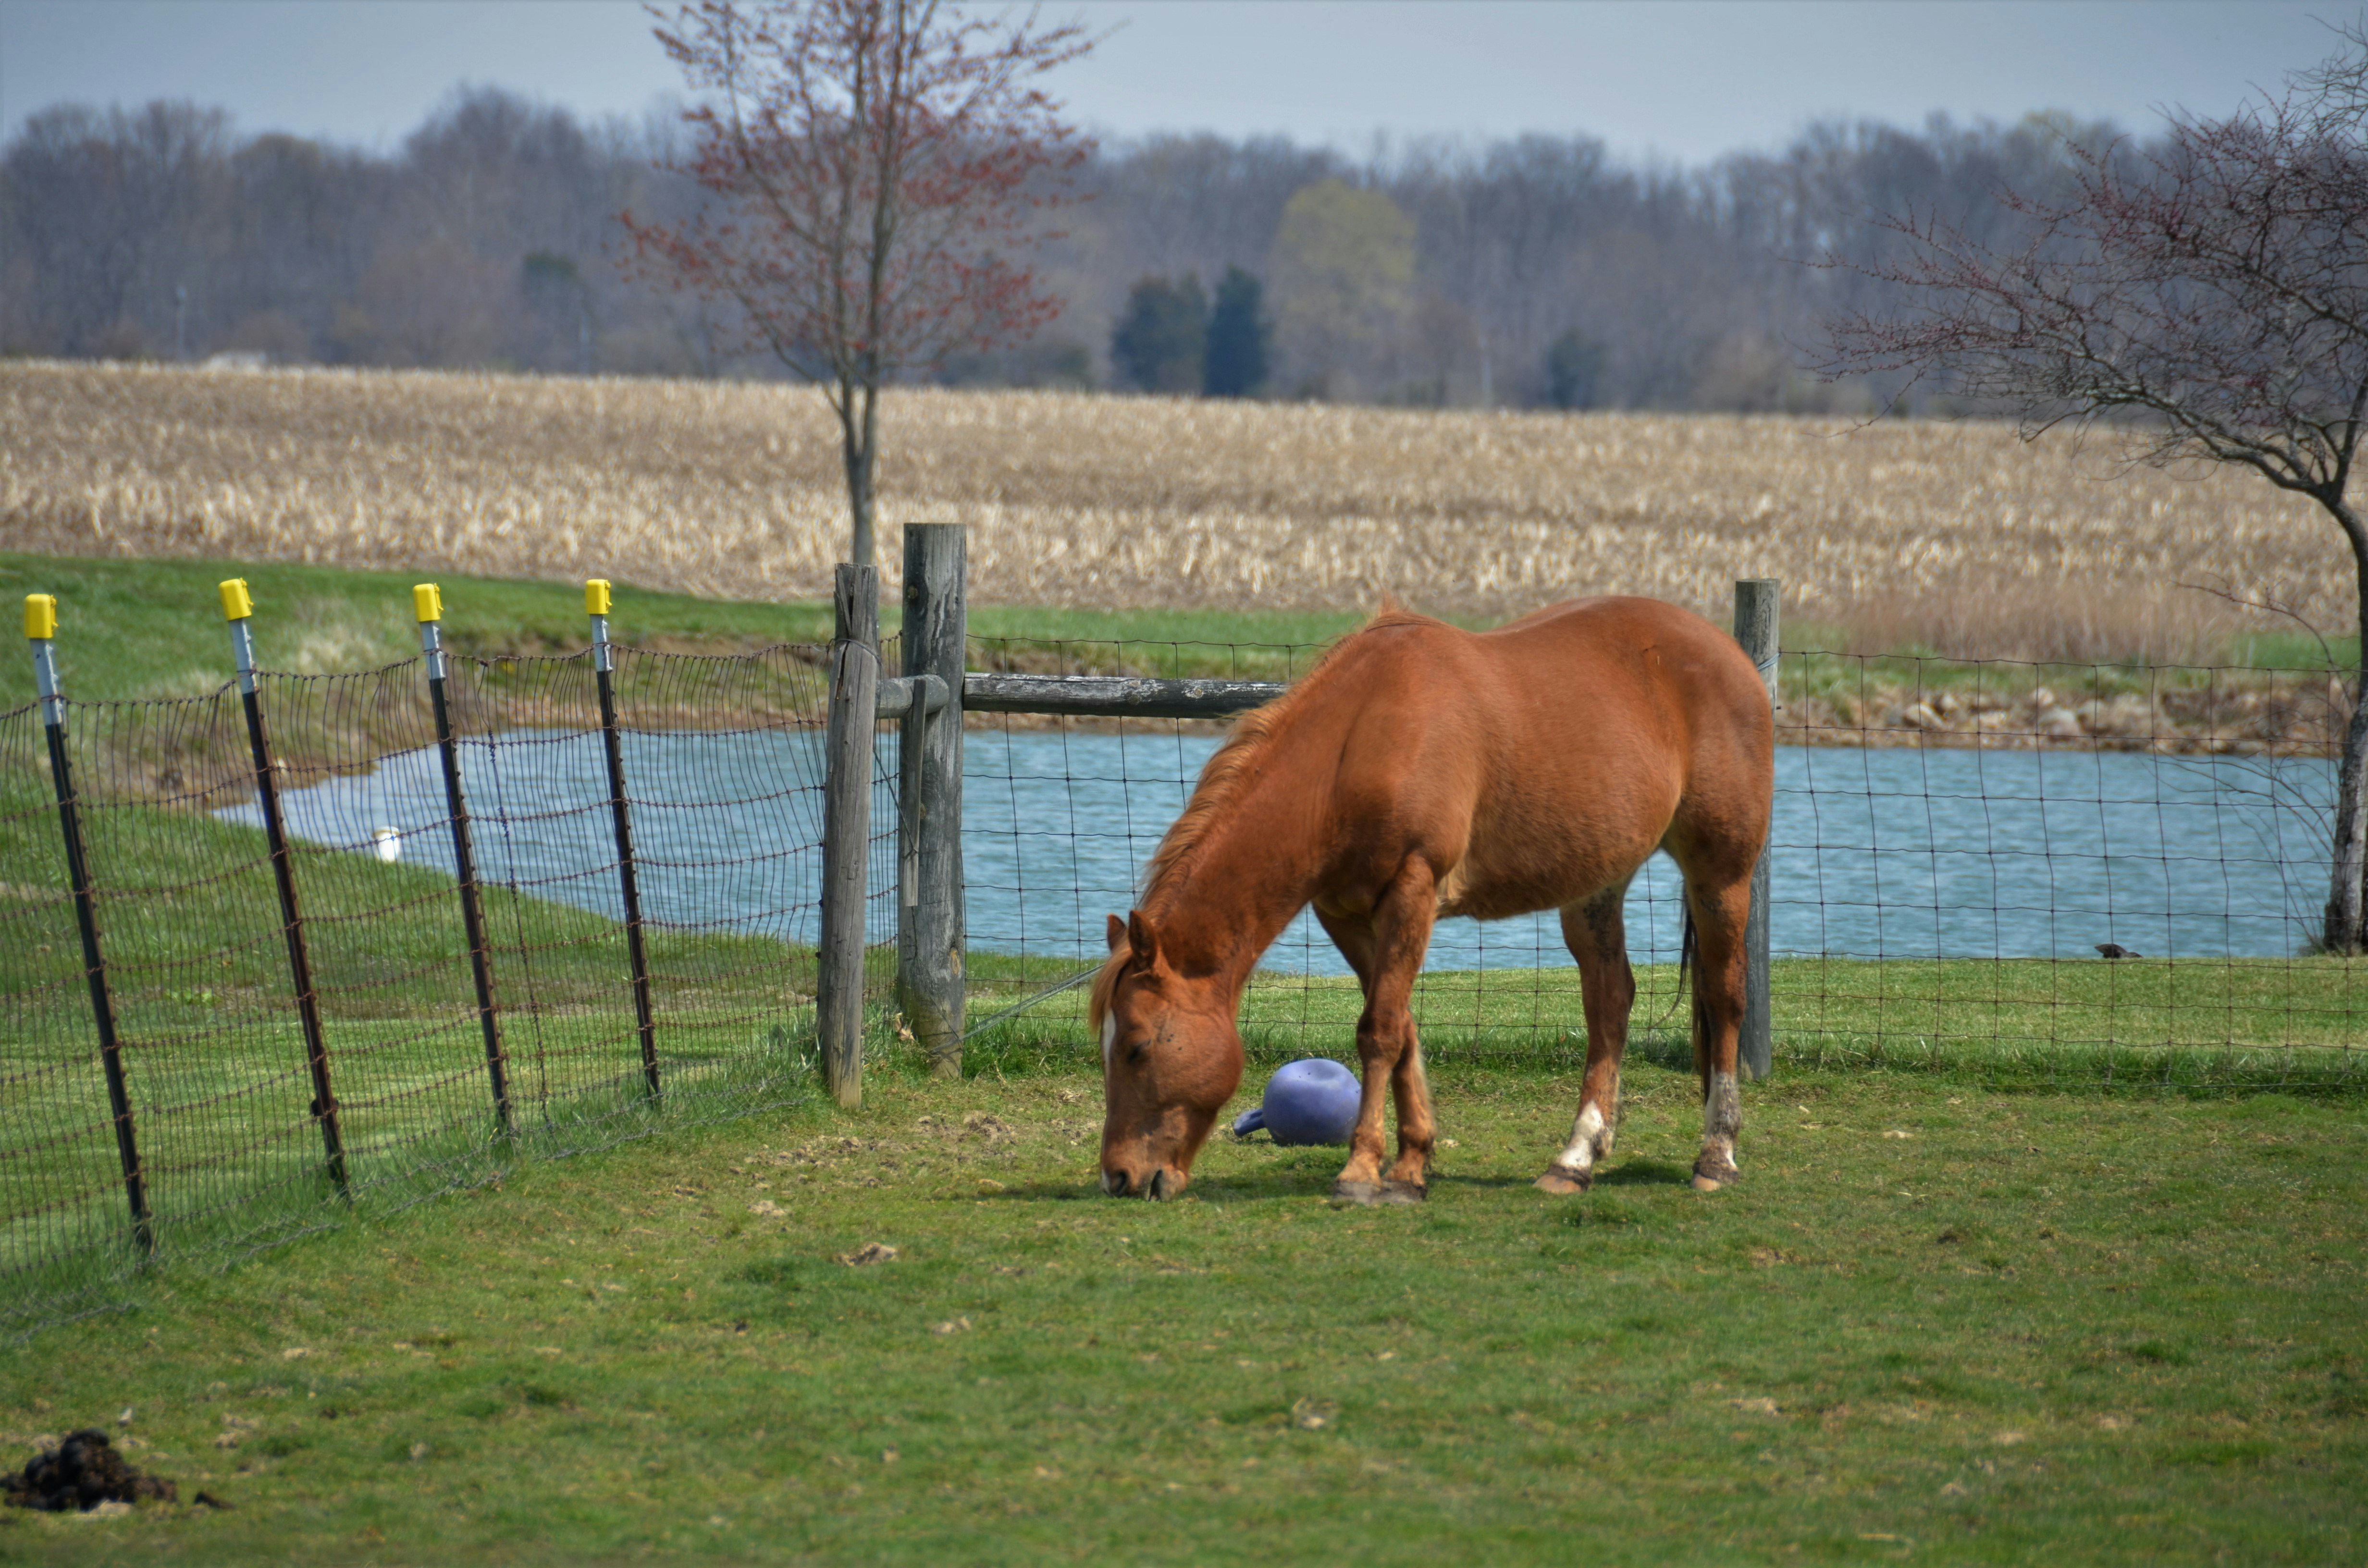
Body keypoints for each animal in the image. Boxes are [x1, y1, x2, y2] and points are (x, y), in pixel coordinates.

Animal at [1090, 596, 1773, 1205]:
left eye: (1137, 1047)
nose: (1118, 1177)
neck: (1358, 742)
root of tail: (1732, 658)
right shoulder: (1346, 913)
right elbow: (1403, 1028)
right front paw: (1411, 1164)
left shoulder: (1411, 889)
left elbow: (1379, 1031)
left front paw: (1360, 1173)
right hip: (1596, 887)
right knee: (1609, 1004)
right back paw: (1574, 1160)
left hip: (1720, 875)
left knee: (1724, 996)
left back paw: (1715, 1157)